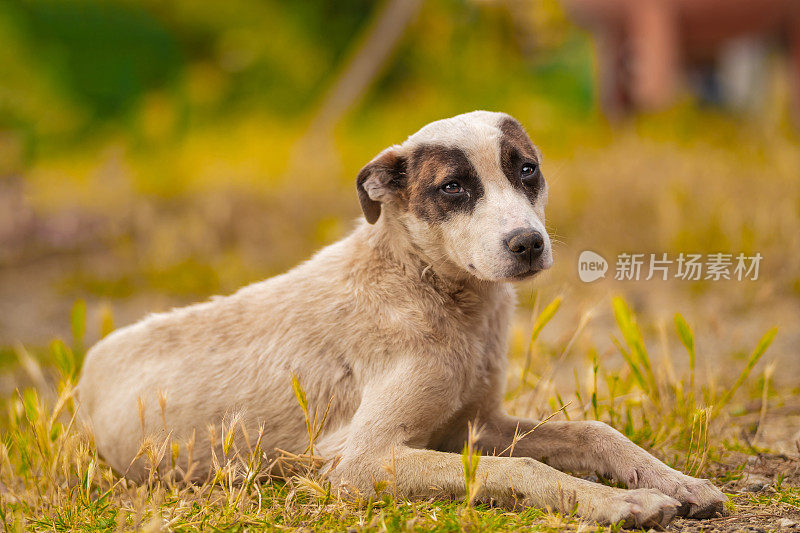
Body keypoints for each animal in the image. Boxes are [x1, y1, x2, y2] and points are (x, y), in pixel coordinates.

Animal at [79, 112, 724, 528]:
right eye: (454, 188)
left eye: (526, 170)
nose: (528, 244)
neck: (432, 291)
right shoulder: (361, 461)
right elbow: (521, 471)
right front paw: (615, 503)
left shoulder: (476, 425)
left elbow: (595, 432)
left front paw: (674, 482)